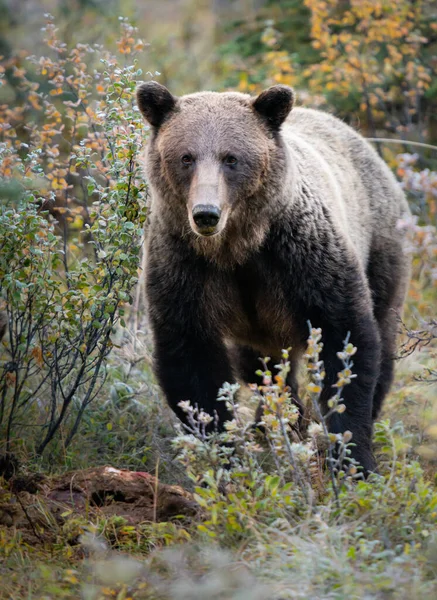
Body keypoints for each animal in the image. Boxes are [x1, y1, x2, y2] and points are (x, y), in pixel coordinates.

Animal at [135, 82, 408, 474]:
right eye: (186, 157)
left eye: (231, 158)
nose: (206, 214)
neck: (237, 247)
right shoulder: (185, 268)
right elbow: (191, 359)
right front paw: (223, 454)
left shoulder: (301, 259)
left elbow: (345, 339)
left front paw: (353, 459)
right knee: (261, 367)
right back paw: (274, 421)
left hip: (382, 246)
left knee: (383, 332)